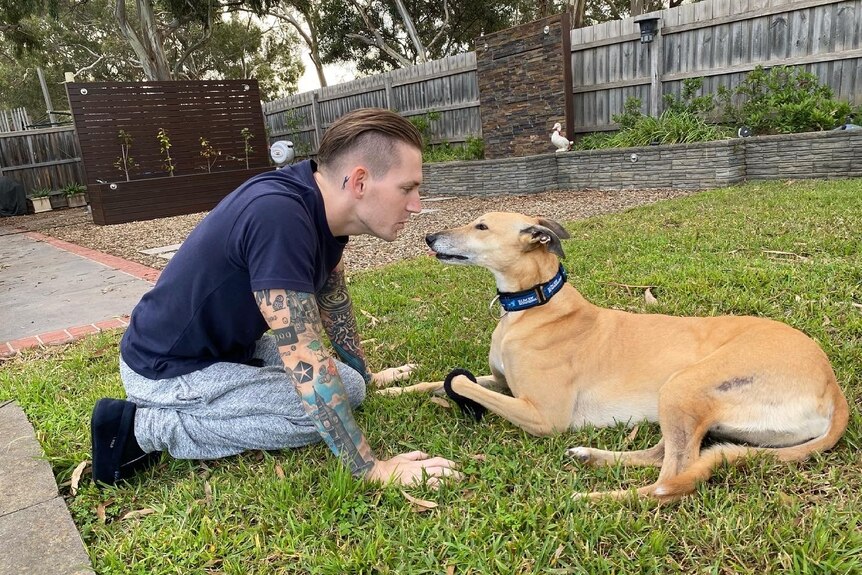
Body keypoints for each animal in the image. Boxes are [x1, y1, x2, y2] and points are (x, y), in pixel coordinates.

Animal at [380, 214, 852, 502]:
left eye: (480, 225)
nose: (427, 237)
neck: (537, 305)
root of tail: (833, 387)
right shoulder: (502, 383)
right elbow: (443, 379)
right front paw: (390, 389)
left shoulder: (543, 415)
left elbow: (459, 381)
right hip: (685, 404)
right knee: (663, 458)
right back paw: (591, 457)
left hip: (684, 386)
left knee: (670, 482)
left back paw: (592, 498)